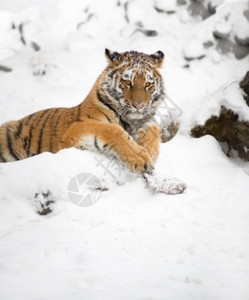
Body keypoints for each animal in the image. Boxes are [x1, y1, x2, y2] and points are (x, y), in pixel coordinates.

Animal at [0, 49, 165, 173]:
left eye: (148, 84)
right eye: (127, 82)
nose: (139, 105)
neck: (130, 120)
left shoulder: (147, 120)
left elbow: (153, 129)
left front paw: (150, 151)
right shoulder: (74, 131)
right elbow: (111, 130)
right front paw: (140, 157)